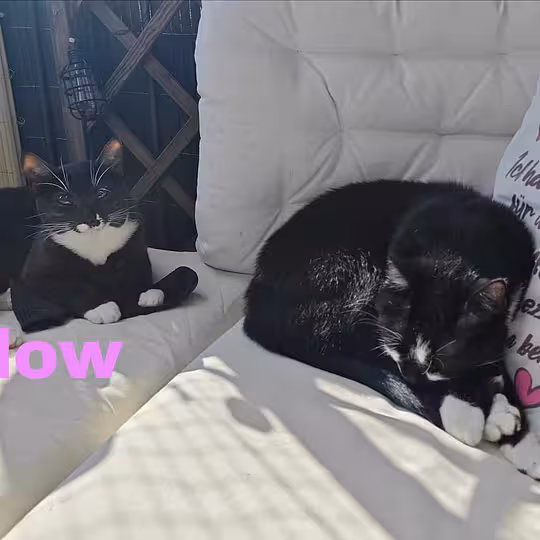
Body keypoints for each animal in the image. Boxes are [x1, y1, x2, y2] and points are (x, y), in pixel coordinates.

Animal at [11, 139, 197, 333]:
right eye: (64, 198)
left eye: (101, 192)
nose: (91, 219)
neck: (95, 240)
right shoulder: (35, 271)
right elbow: (65, 287)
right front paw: (102, 308)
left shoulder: (135, 240)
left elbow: (138, 268)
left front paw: (149, 293)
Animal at [244, 180, 540, 479]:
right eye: (398, 347)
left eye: (438, 362)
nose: (411, 377)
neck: (460, 245)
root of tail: (256, 303)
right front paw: (479, 411)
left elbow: (490, 354)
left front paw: (524, 445)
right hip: (347, 274)